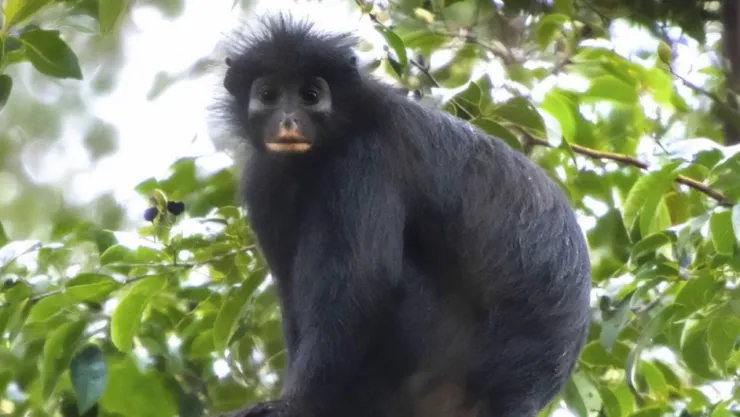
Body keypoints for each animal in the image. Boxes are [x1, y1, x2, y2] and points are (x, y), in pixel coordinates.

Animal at [213, 14, 591, 417]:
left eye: (310, 96)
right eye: (269, 95)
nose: (288, 120)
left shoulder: (364, 159)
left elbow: (364, 283)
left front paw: (294, 403)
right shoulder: (264, 181)